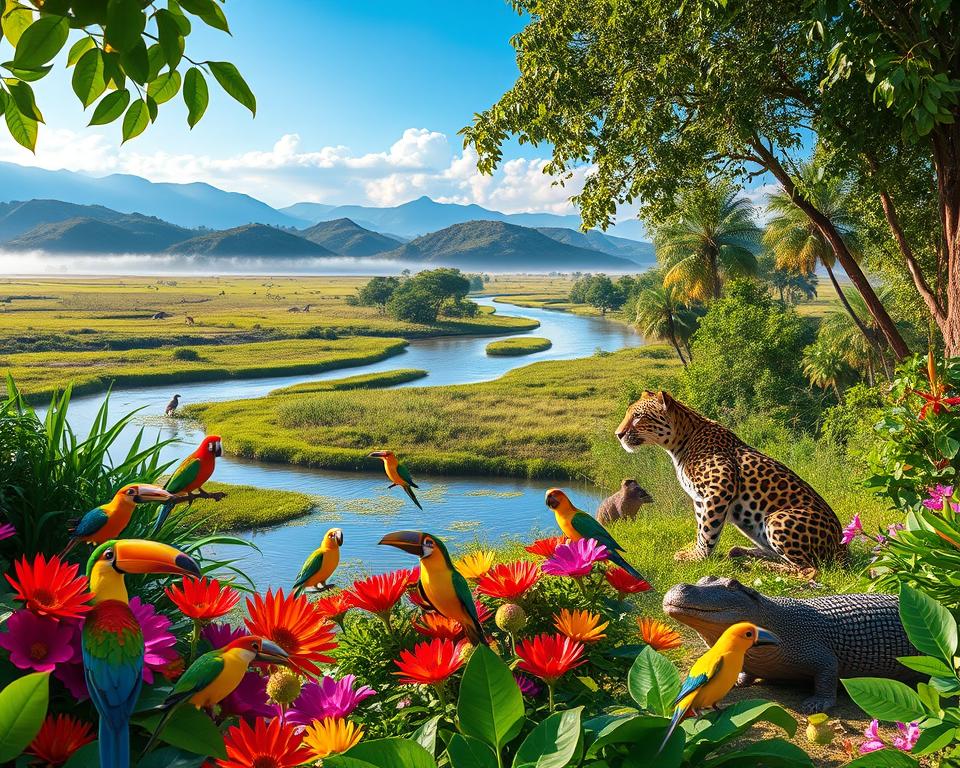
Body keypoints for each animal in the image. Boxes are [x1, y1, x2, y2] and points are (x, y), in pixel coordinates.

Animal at [615, 390, 843, 575]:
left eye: (638, 416)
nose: (618, 434)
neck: (680, 443)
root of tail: (842, 547)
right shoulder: (700, 499)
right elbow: (702, 527)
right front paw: (696, 552)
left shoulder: (719, 485)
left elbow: (708, 530)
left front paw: (698, 558)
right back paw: (741, 552)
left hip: (777, 519)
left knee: (808, 569)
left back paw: (756, 565)